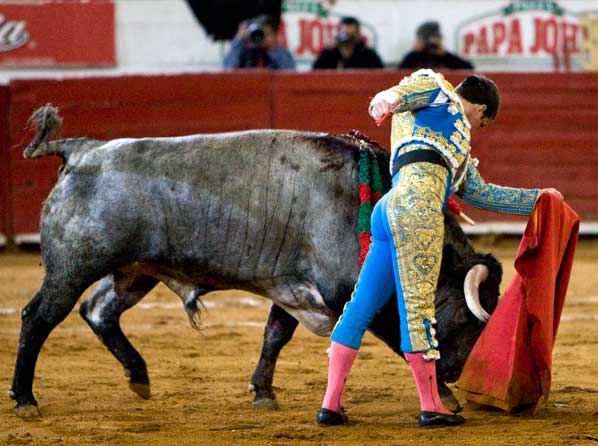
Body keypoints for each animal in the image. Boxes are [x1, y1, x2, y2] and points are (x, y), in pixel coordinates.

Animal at [9, 105, 502, 417]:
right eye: (474, 323)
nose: (457, 372)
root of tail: (83, 150)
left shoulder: (290, 286)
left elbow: (274, 335)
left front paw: (263, 392)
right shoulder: (351, 289)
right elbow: (397, 337)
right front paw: (443, 396)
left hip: (134, 272)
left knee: (98, 311)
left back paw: (139, 376)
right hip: (73, 267)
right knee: (39, 317)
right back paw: (25, 399)